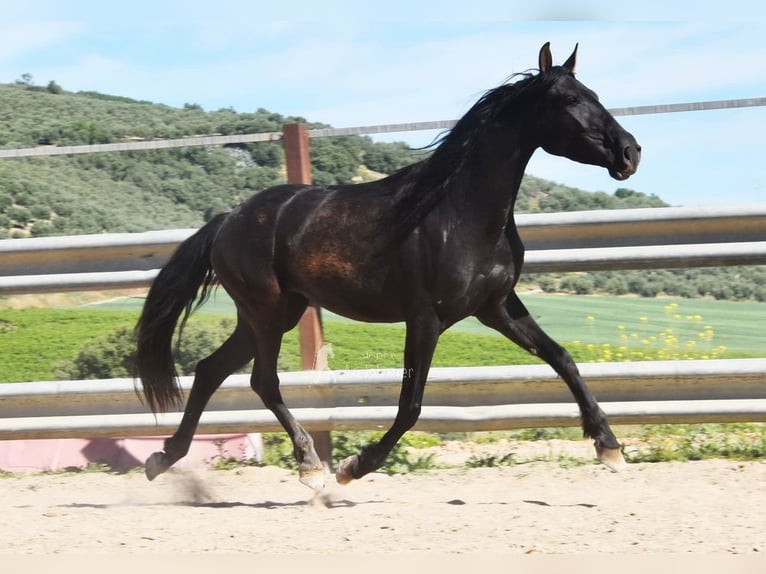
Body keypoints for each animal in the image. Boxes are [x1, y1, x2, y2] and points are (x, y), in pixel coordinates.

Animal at [134, 42, 641, 491]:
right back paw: (311, 466)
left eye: (595, 94)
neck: (459, 213)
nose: (631, 153)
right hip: (267, 312)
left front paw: (609, 446)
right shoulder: (425, 318)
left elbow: (563, 358)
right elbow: (411, 405)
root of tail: (227, 220)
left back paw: (163, 458)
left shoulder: (497, 307)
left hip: (273, 314)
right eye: (570, 100)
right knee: (262, 380)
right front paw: (354, 467)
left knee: (210, 371)